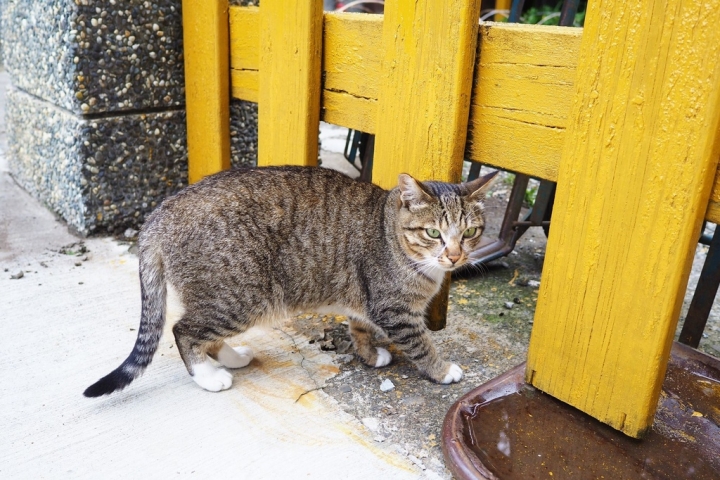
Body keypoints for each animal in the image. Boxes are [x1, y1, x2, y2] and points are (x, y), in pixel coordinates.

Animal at [84, 166, 498, 398]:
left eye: (470, 232)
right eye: (433, 233)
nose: (455, 256)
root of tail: (161, 211)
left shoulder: (366, 301)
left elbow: (360, 327)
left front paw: (370, 354)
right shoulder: (395, 309)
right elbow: (422, 344)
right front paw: (442, 370)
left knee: (204, 334)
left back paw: (231, 357)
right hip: (241, 297)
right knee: (184, 330)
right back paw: (208, 376)